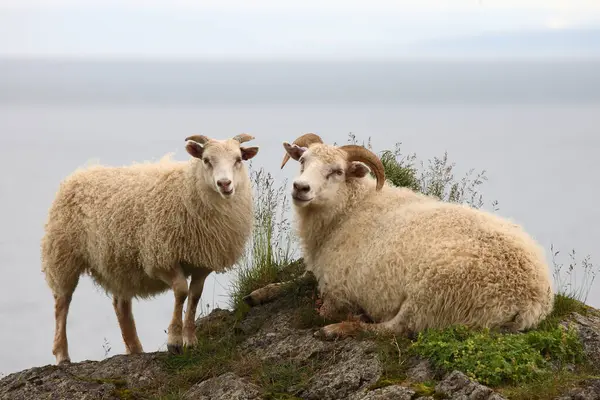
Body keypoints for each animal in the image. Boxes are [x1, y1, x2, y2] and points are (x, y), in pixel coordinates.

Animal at [42, 133, 258, 364]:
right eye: (206, 160)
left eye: (238, 159)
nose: (224, 184)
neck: (189, 187)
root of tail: (80, 173)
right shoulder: (160, 258)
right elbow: (181, 291)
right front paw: (174, 341)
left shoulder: (202, 262)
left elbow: (194, 296)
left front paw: (191, 340)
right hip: (63, 255)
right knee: (62, 304)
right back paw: (62, 354)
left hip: (119, 263)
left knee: (121, 305)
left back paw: (135, 348)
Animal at [244, 134, 552, 340]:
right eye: (303, 161)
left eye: (337, 172)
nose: (300, 187)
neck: (349, 210)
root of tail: (533, 298)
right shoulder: (322, 270)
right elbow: (296, 280)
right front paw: (259, 293)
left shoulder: (338, 289)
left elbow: (320, 304)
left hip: (435, 296)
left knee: (393, 329)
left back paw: (339, 328)